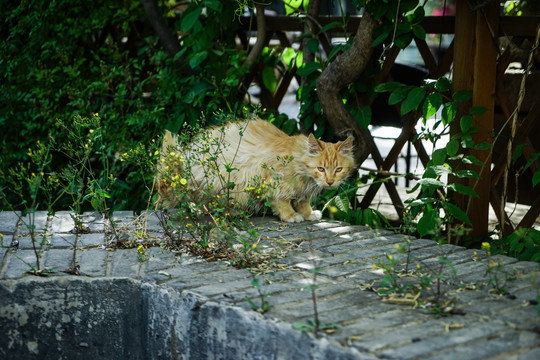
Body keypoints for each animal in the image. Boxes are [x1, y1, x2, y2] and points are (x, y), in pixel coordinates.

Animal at [158, 118, 356, 222]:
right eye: (321, 168)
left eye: (338, 169)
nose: (330, 181)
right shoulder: (273, 184)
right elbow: (283, 202)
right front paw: (291, 216)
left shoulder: (302, 192)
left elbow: (303, 203)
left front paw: (308, 214)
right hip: (221, 178)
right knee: (209, 201)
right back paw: (232, 212)